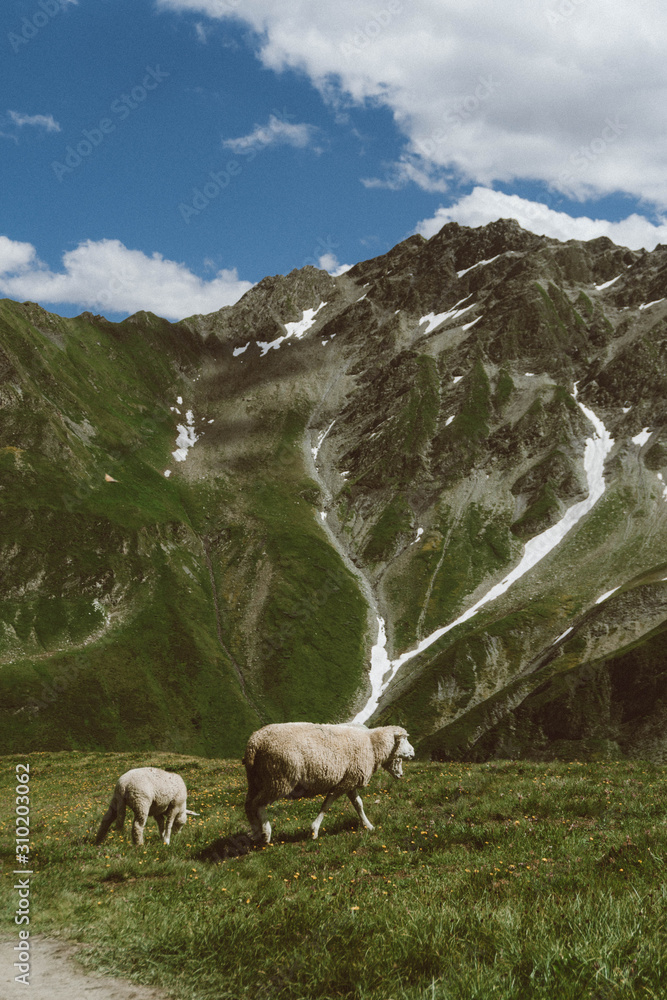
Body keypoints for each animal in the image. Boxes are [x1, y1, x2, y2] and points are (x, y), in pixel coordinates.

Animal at [243, 720, 414, 844]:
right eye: (404, 739)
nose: (413, 753)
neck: (372, 745)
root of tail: (254, 742)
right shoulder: (345, 782)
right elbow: (327, 804)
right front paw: (314, 830)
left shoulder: (350, 779)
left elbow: (358, 804)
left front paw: (368, 825)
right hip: (279, 779)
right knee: (257, 804)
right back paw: (266, 833)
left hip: (256, 780)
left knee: (248, 804)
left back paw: (256, 832)